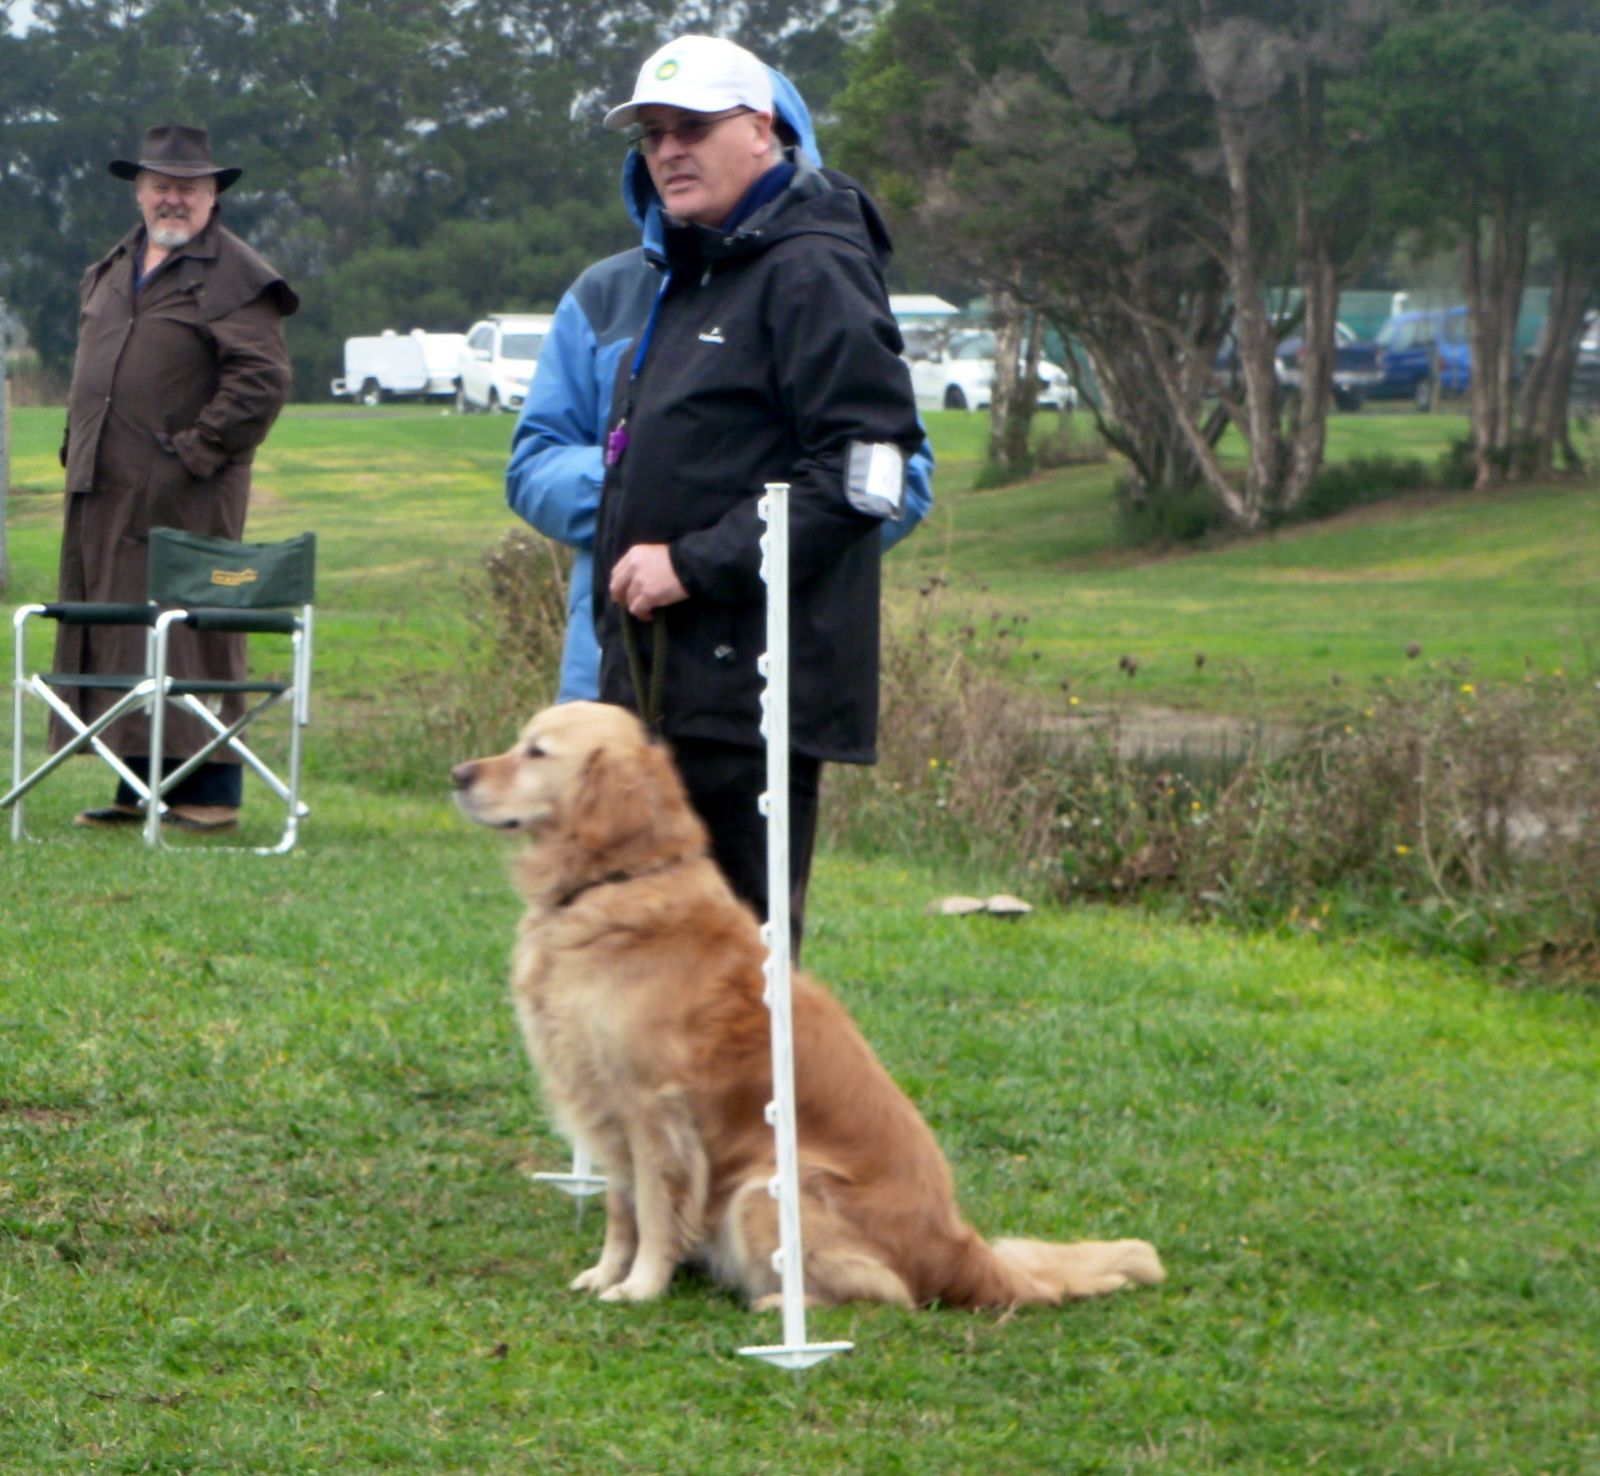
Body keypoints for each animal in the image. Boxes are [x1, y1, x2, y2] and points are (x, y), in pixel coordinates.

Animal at [452, 701, 1164, 1310]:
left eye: (537, 751)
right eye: (520, 741)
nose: (458, 775)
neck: (617, 883)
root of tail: (962, 1247)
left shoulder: (653, 1110)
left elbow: (653, 1210)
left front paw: (640, 1286)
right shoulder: (605, 1107)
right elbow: (620, 1210)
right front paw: (605, 1273)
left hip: (761, 1189)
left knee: (890, 1294)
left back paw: (775, 1305)